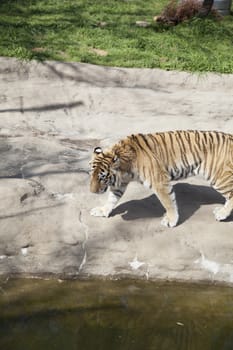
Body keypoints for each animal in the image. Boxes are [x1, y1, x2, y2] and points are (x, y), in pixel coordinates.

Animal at [89, 131, 233, 227]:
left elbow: (168, 202)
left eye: (102, 178)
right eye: (91, 175)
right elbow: (111, 199)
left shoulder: (160, 181)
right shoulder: (120, 184)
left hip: (218, 176)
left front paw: (171, 220)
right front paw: (102, 210)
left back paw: (222, 214)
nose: (92, 192)